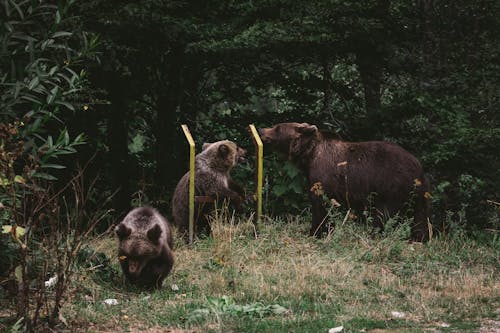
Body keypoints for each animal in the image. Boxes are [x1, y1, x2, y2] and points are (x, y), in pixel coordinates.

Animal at [258, 122, 430, 241]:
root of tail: (418, 166)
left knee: (383, 215)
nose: (261, 130)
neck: (309, 156)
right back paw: (419, 239)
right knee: (420, 217)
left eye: (278, 128)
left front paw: (315, 232)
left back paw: (374, 235)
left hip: (391, 186)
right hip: (417, 194)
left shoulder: (322, 176)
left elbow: (319, 205)